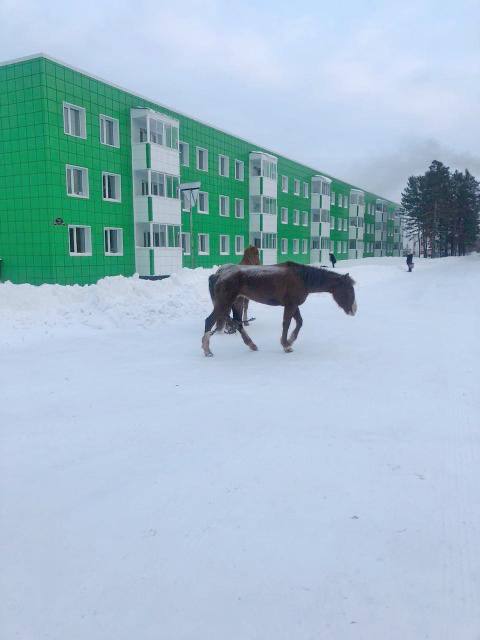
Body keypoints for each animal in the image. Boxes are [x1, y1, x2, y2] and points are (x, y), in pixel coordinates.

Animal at [202, 262, 356, 358]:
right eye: (348, 290)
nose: (354, 310)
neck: (302, 278)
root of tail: (218, 274)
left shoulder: (293, 305)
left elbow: (299, 322)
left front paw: (290, 340)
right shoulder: (290, 304)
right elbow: (287, 323)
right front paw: (286, 345)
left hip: (236, 303)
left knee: (238, 323)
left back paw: (252, 345)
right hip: (224, 303)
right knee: (210, 321)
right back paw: (207, 351)